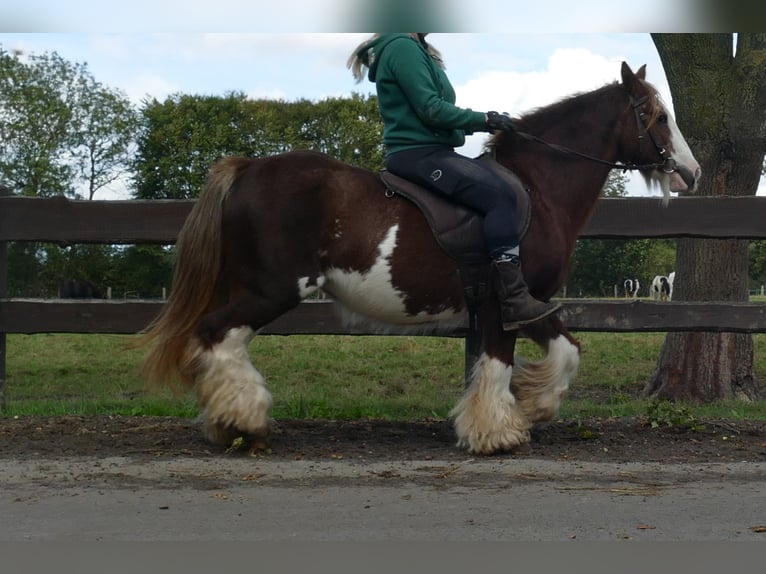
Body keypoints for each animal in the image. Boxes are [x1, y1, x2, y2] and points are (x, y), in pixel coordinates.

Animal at [138, 63, 704, 456]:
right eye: (657, 116)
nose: (692, 172)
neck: (537, 188)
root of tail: (247, 167)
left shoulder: (531, 302)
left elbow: (566, 352)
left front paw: (532, 405)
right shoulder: (504, 302)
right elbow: (498, 362)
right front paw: (498, 431)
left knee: (218, 340)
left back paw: (226, 420)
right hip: (271, 288)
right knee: (217, 334)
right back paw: (245, 418)